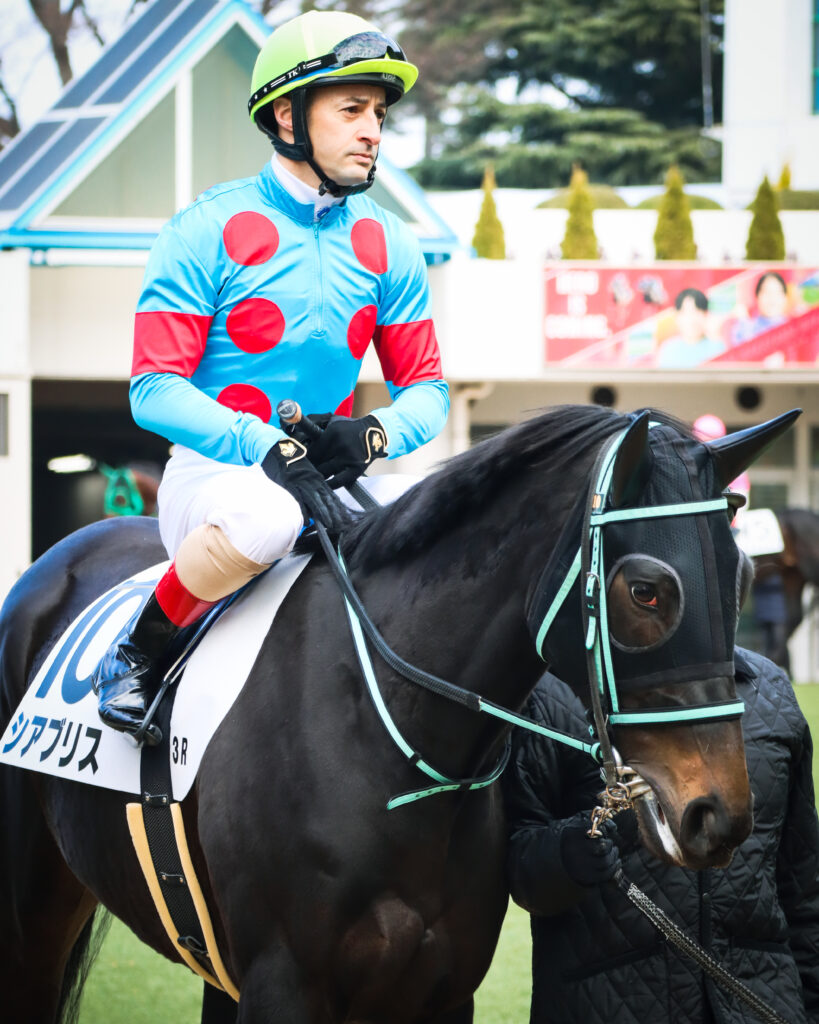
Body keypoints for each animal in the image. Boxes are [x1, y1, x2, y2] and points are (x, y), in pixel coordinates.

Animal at [0, 404, 796, 1024]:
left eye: (739, 575)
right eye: (646, 590)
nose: (718, 814)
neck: (379, 740)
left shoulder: (442, 988)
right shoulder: (284, 984)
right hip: (35, 909)